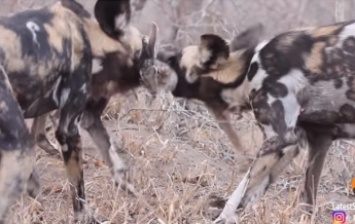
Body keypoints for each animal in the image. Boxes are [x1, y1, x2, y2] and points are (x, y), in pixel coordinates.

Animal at [140, 20, 355, 222]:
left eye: (172, 59)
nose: (143, 68)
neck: (246, 71)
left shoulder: (279, 140)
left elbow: (238, 196)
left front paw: (221, 219)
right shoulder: (314, 141)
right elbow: (293, 201)